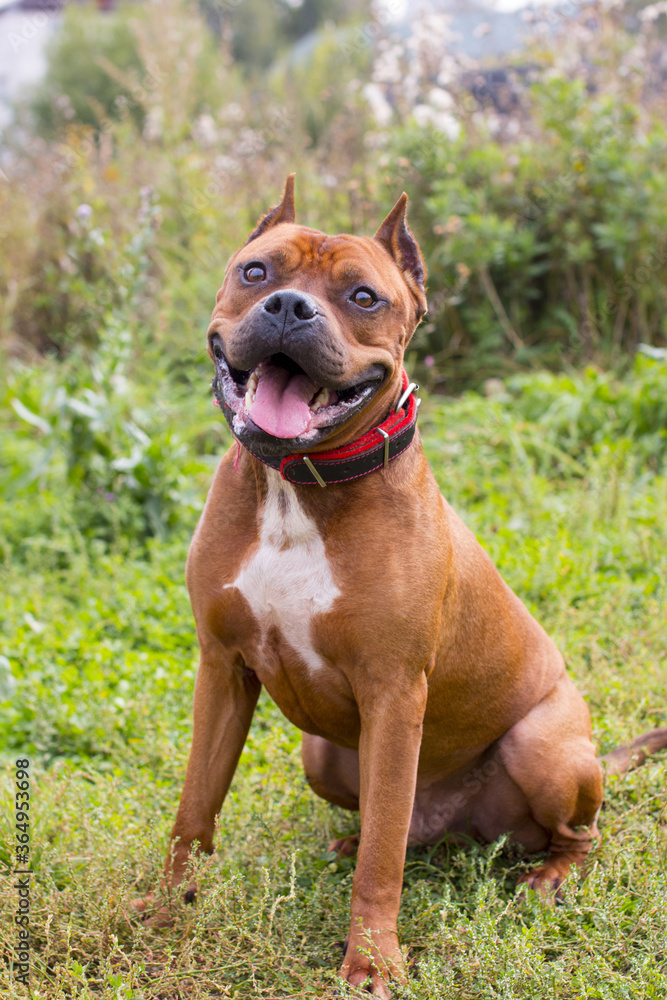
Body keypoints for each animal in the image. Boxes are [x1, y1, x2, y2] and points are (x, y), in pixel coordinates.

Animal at [136, 176, 667, 996]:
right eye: (256, 271)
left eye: (363, 296)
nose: (289, 307)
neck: (296, 486)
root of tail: (454, 828)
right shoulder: (221, 668)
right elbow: (195, 807)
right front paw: (168, 909)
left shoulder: (392, 692)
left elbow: (383, 861)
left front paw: (372, 961)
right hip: (321, 754)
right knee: (394, 829)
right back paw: (349, 841)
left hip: (544, 749)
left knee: (564, 834)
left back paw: (549, 876)